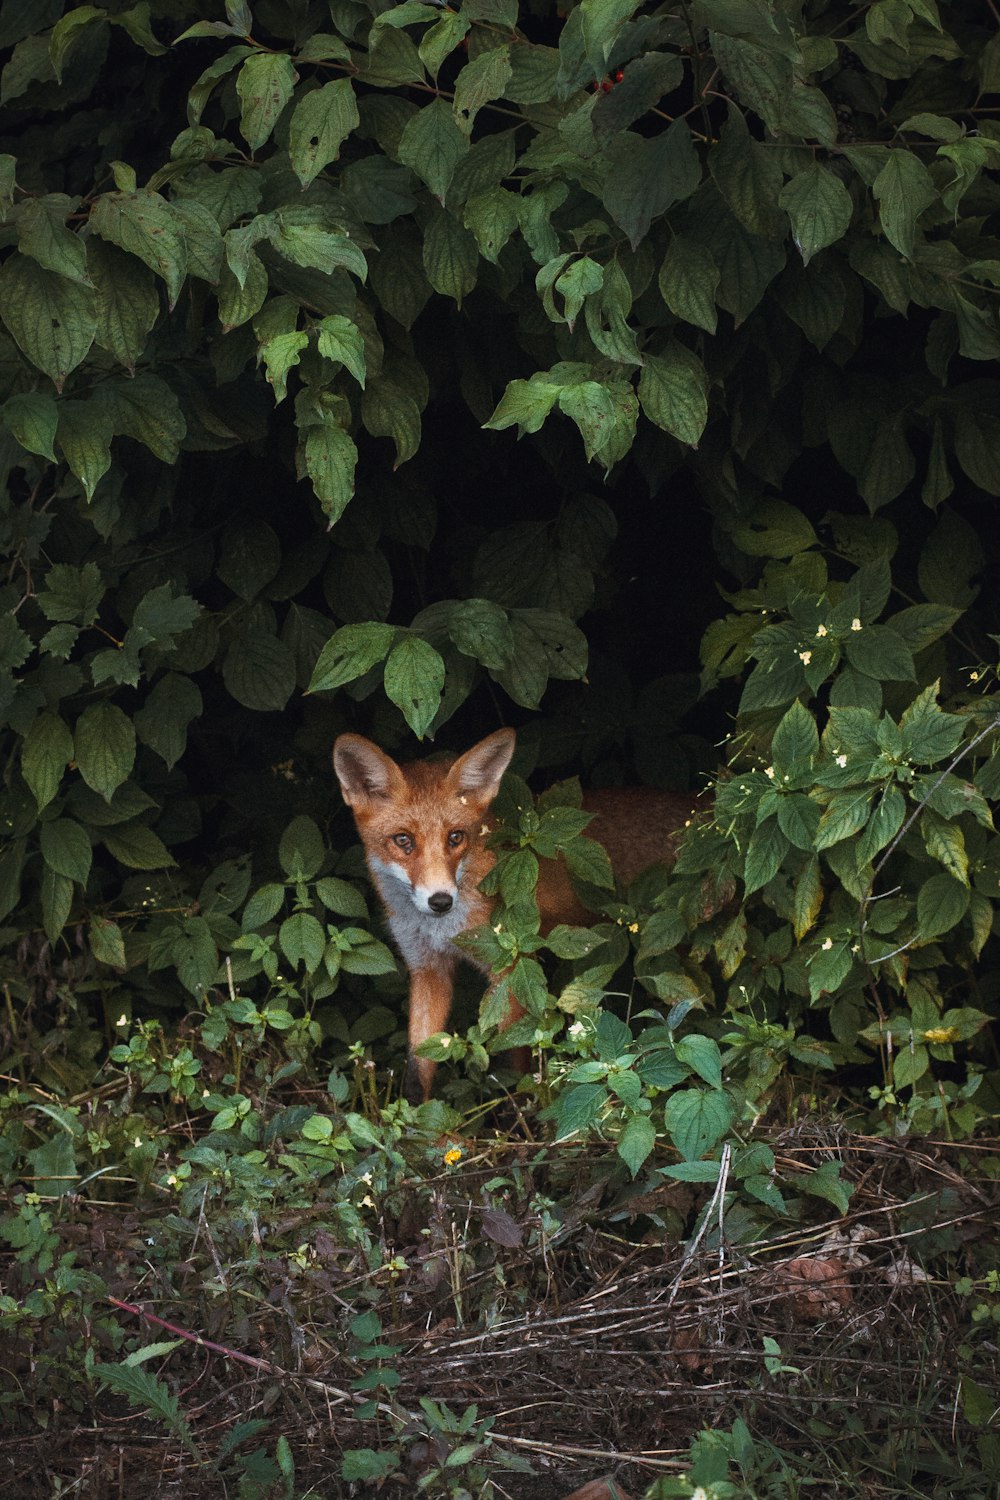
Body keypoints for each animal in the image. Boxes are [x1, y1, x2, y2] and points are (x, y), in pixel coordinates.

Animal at [332, 726, 701, 1104]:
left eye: (455, 838)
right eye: (403, 840)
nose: (440, 901)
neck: (442, 929)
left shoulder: (513, 970)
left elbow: (516, 1056)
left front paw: (524, 1106)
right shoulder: (427, 968)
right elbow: (419, 1065)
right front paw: (414, 1114)